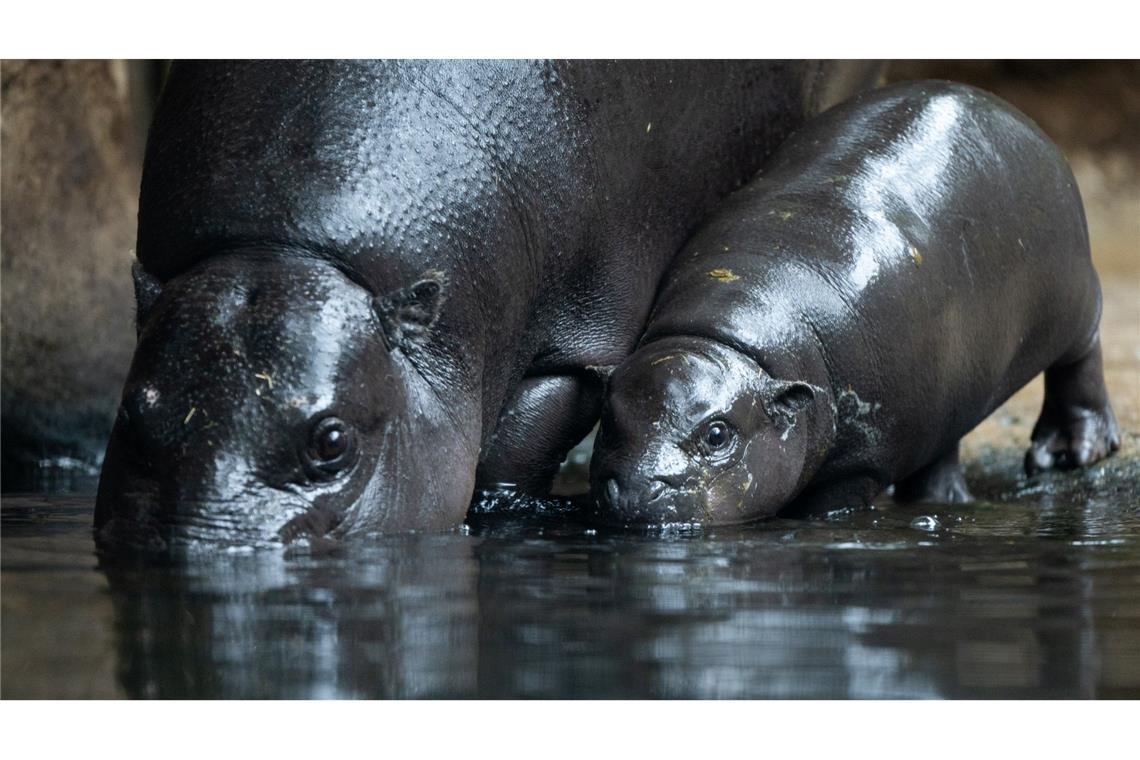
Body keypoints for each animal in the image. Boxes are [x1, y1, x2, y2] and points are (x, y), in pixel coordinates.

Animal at [98, 58, 880, 546]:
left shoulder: (571, 349)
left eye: (333, 441)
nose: (190, 549)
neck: (282, 249)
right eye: (132, 413)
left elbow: (511, 458)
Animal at [588, 80, 1121, 526]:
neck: (728, 342)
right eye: (607, 417)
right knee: (943, 448)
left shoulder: (861, 465)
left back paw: (1067, 452)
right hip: (954, 384)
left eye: (717, 434)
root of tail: (1010, 112)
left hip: (1075, 298)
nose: (632, 489)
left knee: (1081, 358)